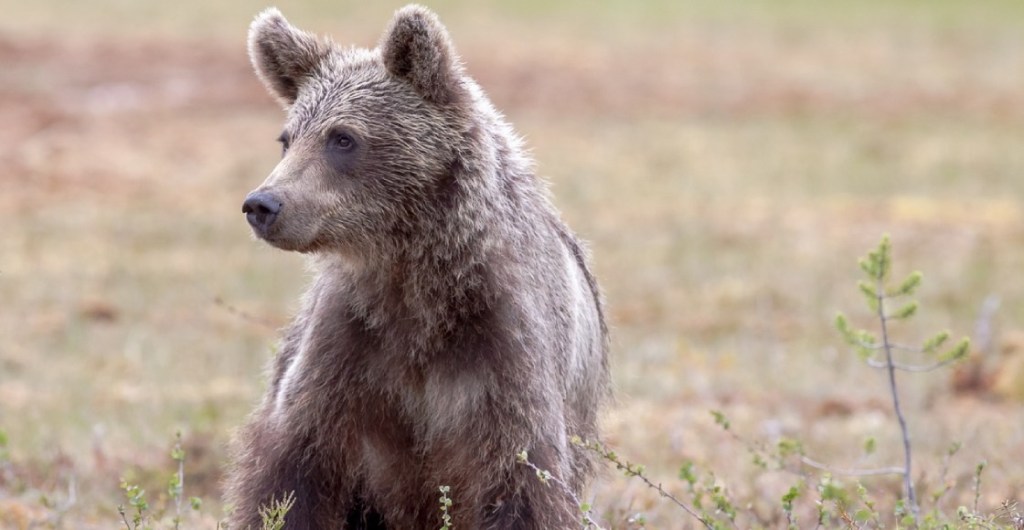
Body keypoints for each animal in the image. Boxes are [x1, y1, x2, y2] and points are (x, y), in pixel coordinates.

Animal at [225, 5, 606, 530]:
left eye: (342, 137)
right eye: (287, 138)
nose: (263, 204)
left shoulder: (504, 354)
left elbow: (523, 483)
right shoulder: (347, 351)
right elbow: (291, 476)